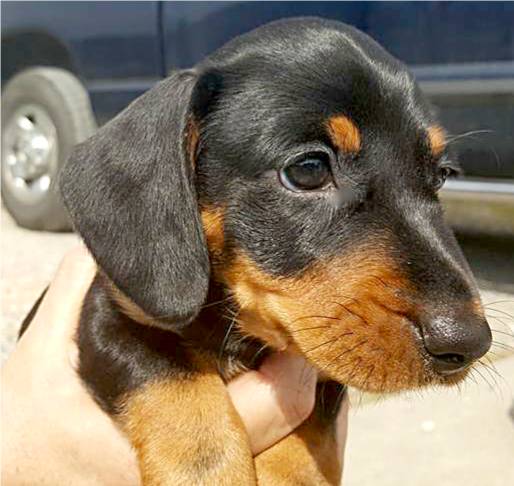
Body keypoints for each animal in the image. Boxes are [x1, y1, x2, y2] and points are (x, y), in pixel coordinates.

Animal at [28, 18, 492, 486]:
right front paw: (207, 471)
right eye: (308, 170)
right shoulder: (108, 316)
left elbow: (311, 426)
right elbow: (172, 379)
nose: (469, 344)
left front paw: (293, 472)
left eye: (442, 175)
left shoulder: (320, 366)